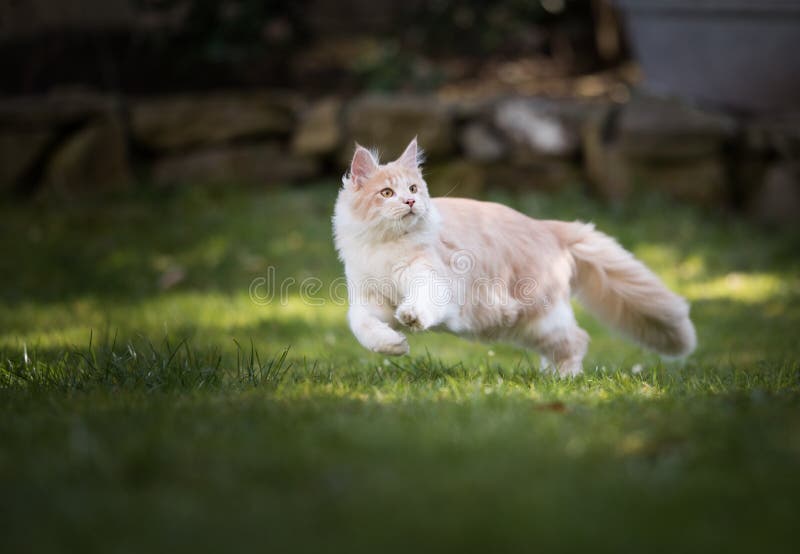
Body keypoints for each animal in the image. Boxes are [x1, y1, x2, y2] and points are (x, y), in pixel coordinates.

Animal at [332, 137, 692, 376]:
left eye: (413, 189)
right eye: (387, 193)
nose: (409, 203)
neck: (385, 246)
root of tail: (549, 228)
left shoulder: (432, 278)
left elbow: (420, 301)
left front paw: (412, 318)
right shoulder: (368, 298)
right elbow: (363, 327)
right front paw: (393, 345)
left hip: (540, 318)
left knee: (577, 340)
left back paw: (564, 380)